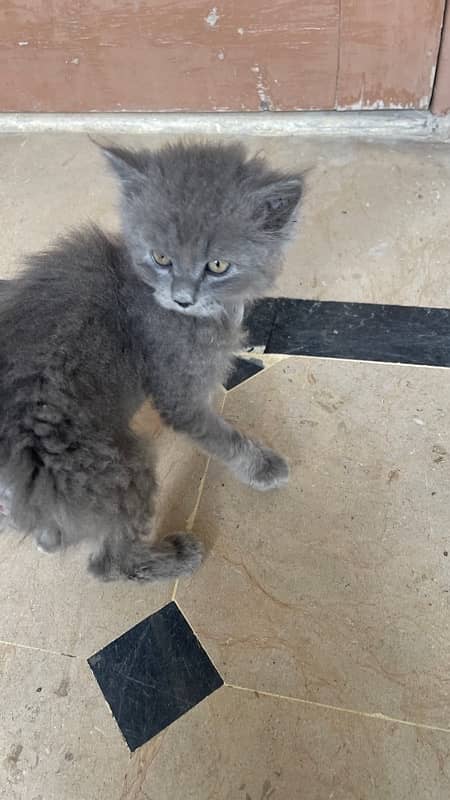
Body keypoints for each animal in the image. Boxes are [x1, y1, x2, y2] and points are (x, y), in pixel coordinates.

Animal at [0, 141, 302, 580]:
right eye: (161, 258)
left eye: (217, 266)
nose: (183, 298)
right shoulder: (178, 392)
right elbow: (220, 435)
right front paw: (262, 467)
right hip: (122, 466)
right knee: (107, 563)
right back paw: (177, 556)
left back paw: (47, 537)